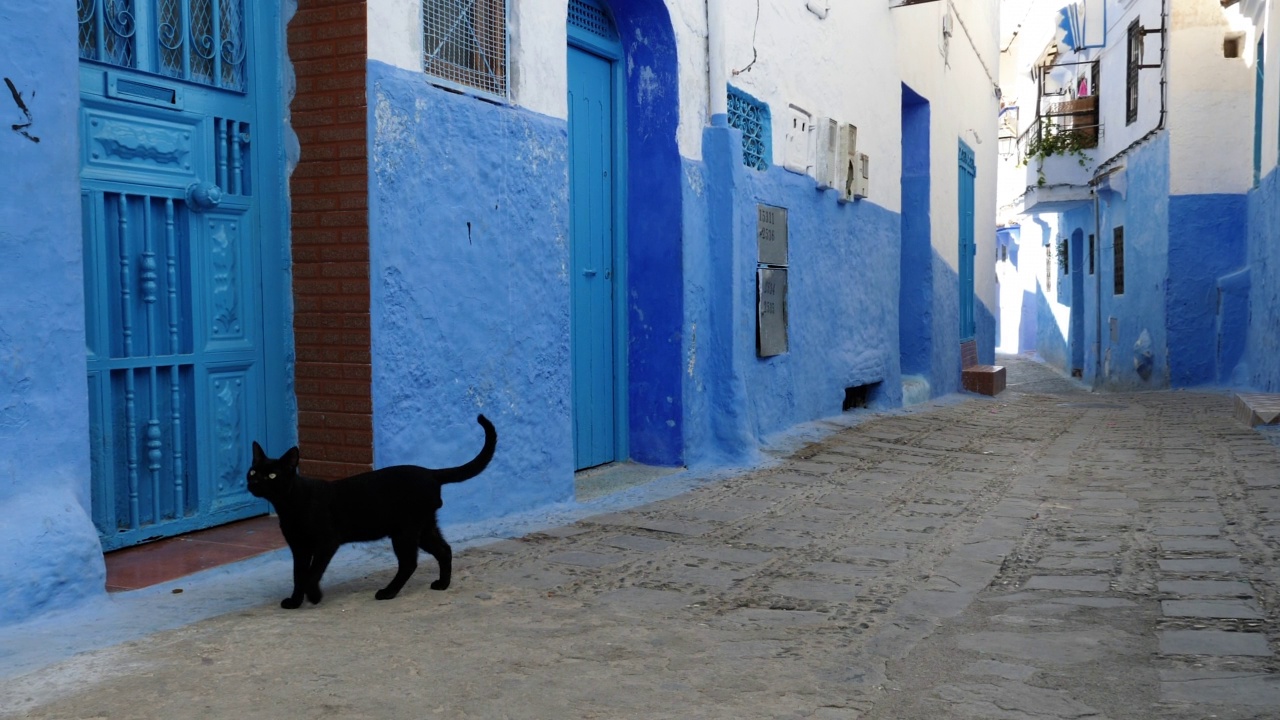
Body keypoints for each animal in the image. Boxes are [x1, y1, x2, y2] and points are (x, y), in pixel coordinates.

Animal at [247, 415, 496, 604]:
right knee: (444, 550)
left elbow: (311, 573)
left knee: (409, 563)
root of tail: (431, 473)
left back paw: (387, 593)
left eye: (272, 475)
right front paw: (295, 602)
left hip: (405, 531)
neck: (289, 504)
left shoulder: (327, 542)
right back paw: (442, 584)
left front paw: (314, 596)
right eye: (253, 471)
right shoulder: (299, 547)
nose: (254, 482)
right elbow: (298, 575)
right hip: (424, 528)